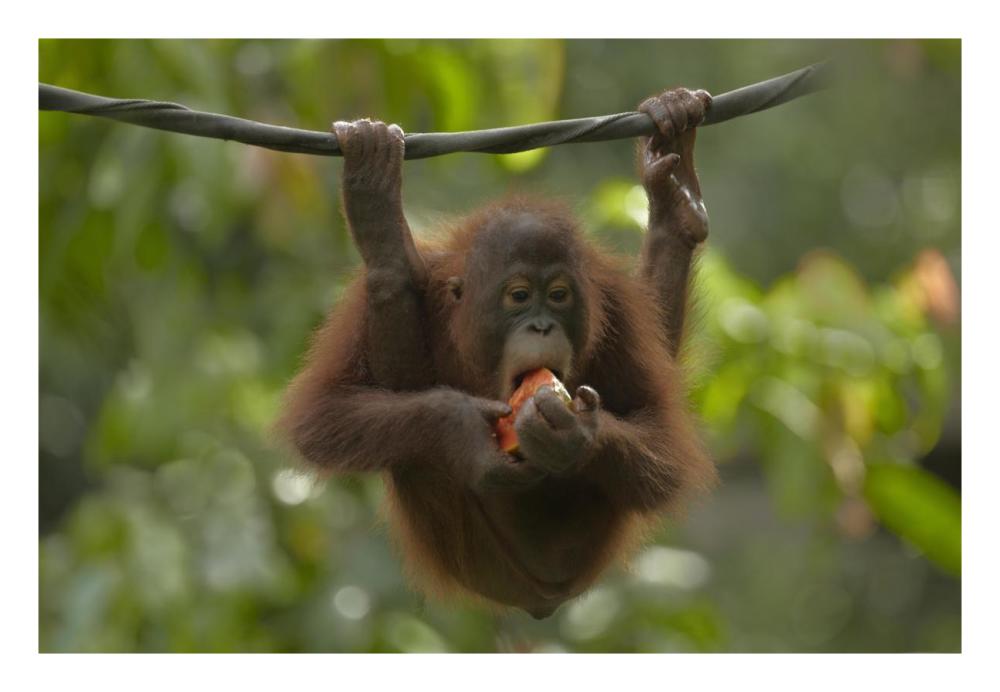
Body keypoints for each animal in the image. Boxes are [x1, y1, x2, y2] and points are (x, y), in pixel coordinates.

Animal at [278, 88, 716, 619]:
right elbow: (323, 415)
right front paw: (462, 427)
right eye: (519, 296)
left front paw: (575, 436)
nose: (542, 325)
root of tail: (539, 599)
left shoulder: (617, 305)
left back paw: (676, 198)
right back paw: (382, 234)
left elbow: (663, 440)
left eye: (559, 295)